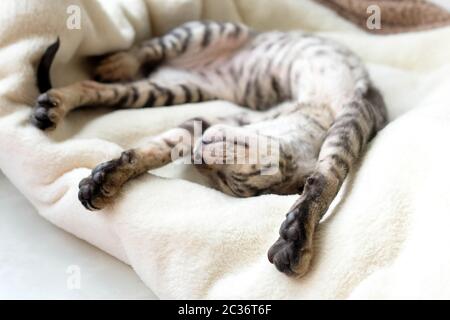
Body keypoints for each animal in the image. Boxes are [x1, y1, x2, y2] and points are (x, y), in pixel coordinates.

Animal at [33, 20, 388, 276]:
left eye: (226, 179)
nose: (197, 160)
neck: (313, 115)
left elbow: (325, 182)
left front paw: (295, 237)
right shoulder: (214, 121)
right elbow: (156, 149)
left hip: (168, 90)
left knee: (95, 87)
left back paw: (56, 104)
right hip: (206, 33)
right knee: (146, 49)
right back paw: (119, 61)